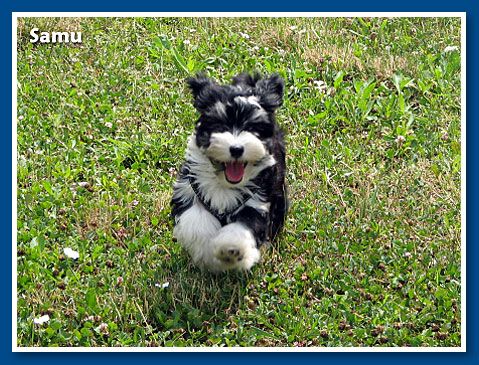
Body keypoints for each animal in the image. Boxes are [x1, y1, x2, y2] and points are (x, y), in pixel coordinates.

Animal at [171, 72, 286, 270]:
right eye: (220, 125)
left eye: (252, 129)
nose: (237, 149)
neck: (223, 183)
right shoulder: (190, 189)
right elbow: (197, 222)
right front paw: (207, 254)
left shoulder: (257, 201)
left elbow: (244, 226)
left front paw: (231, 250)